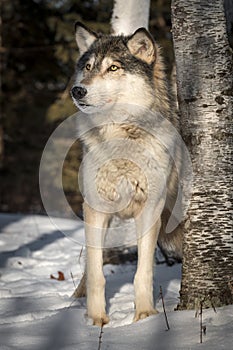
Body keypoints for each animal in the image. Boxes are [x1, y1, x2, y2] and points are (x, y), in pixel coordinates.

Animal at [71, 21, 184, 326]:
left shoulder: (151, 208)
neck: (121, 138)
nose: (77, 91)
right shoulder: (95, 208)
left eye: (113, 68)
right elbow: (96, 273)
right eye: (88, 67)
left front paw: (144, 315)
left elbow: (142, 272)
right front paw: (96, 319)